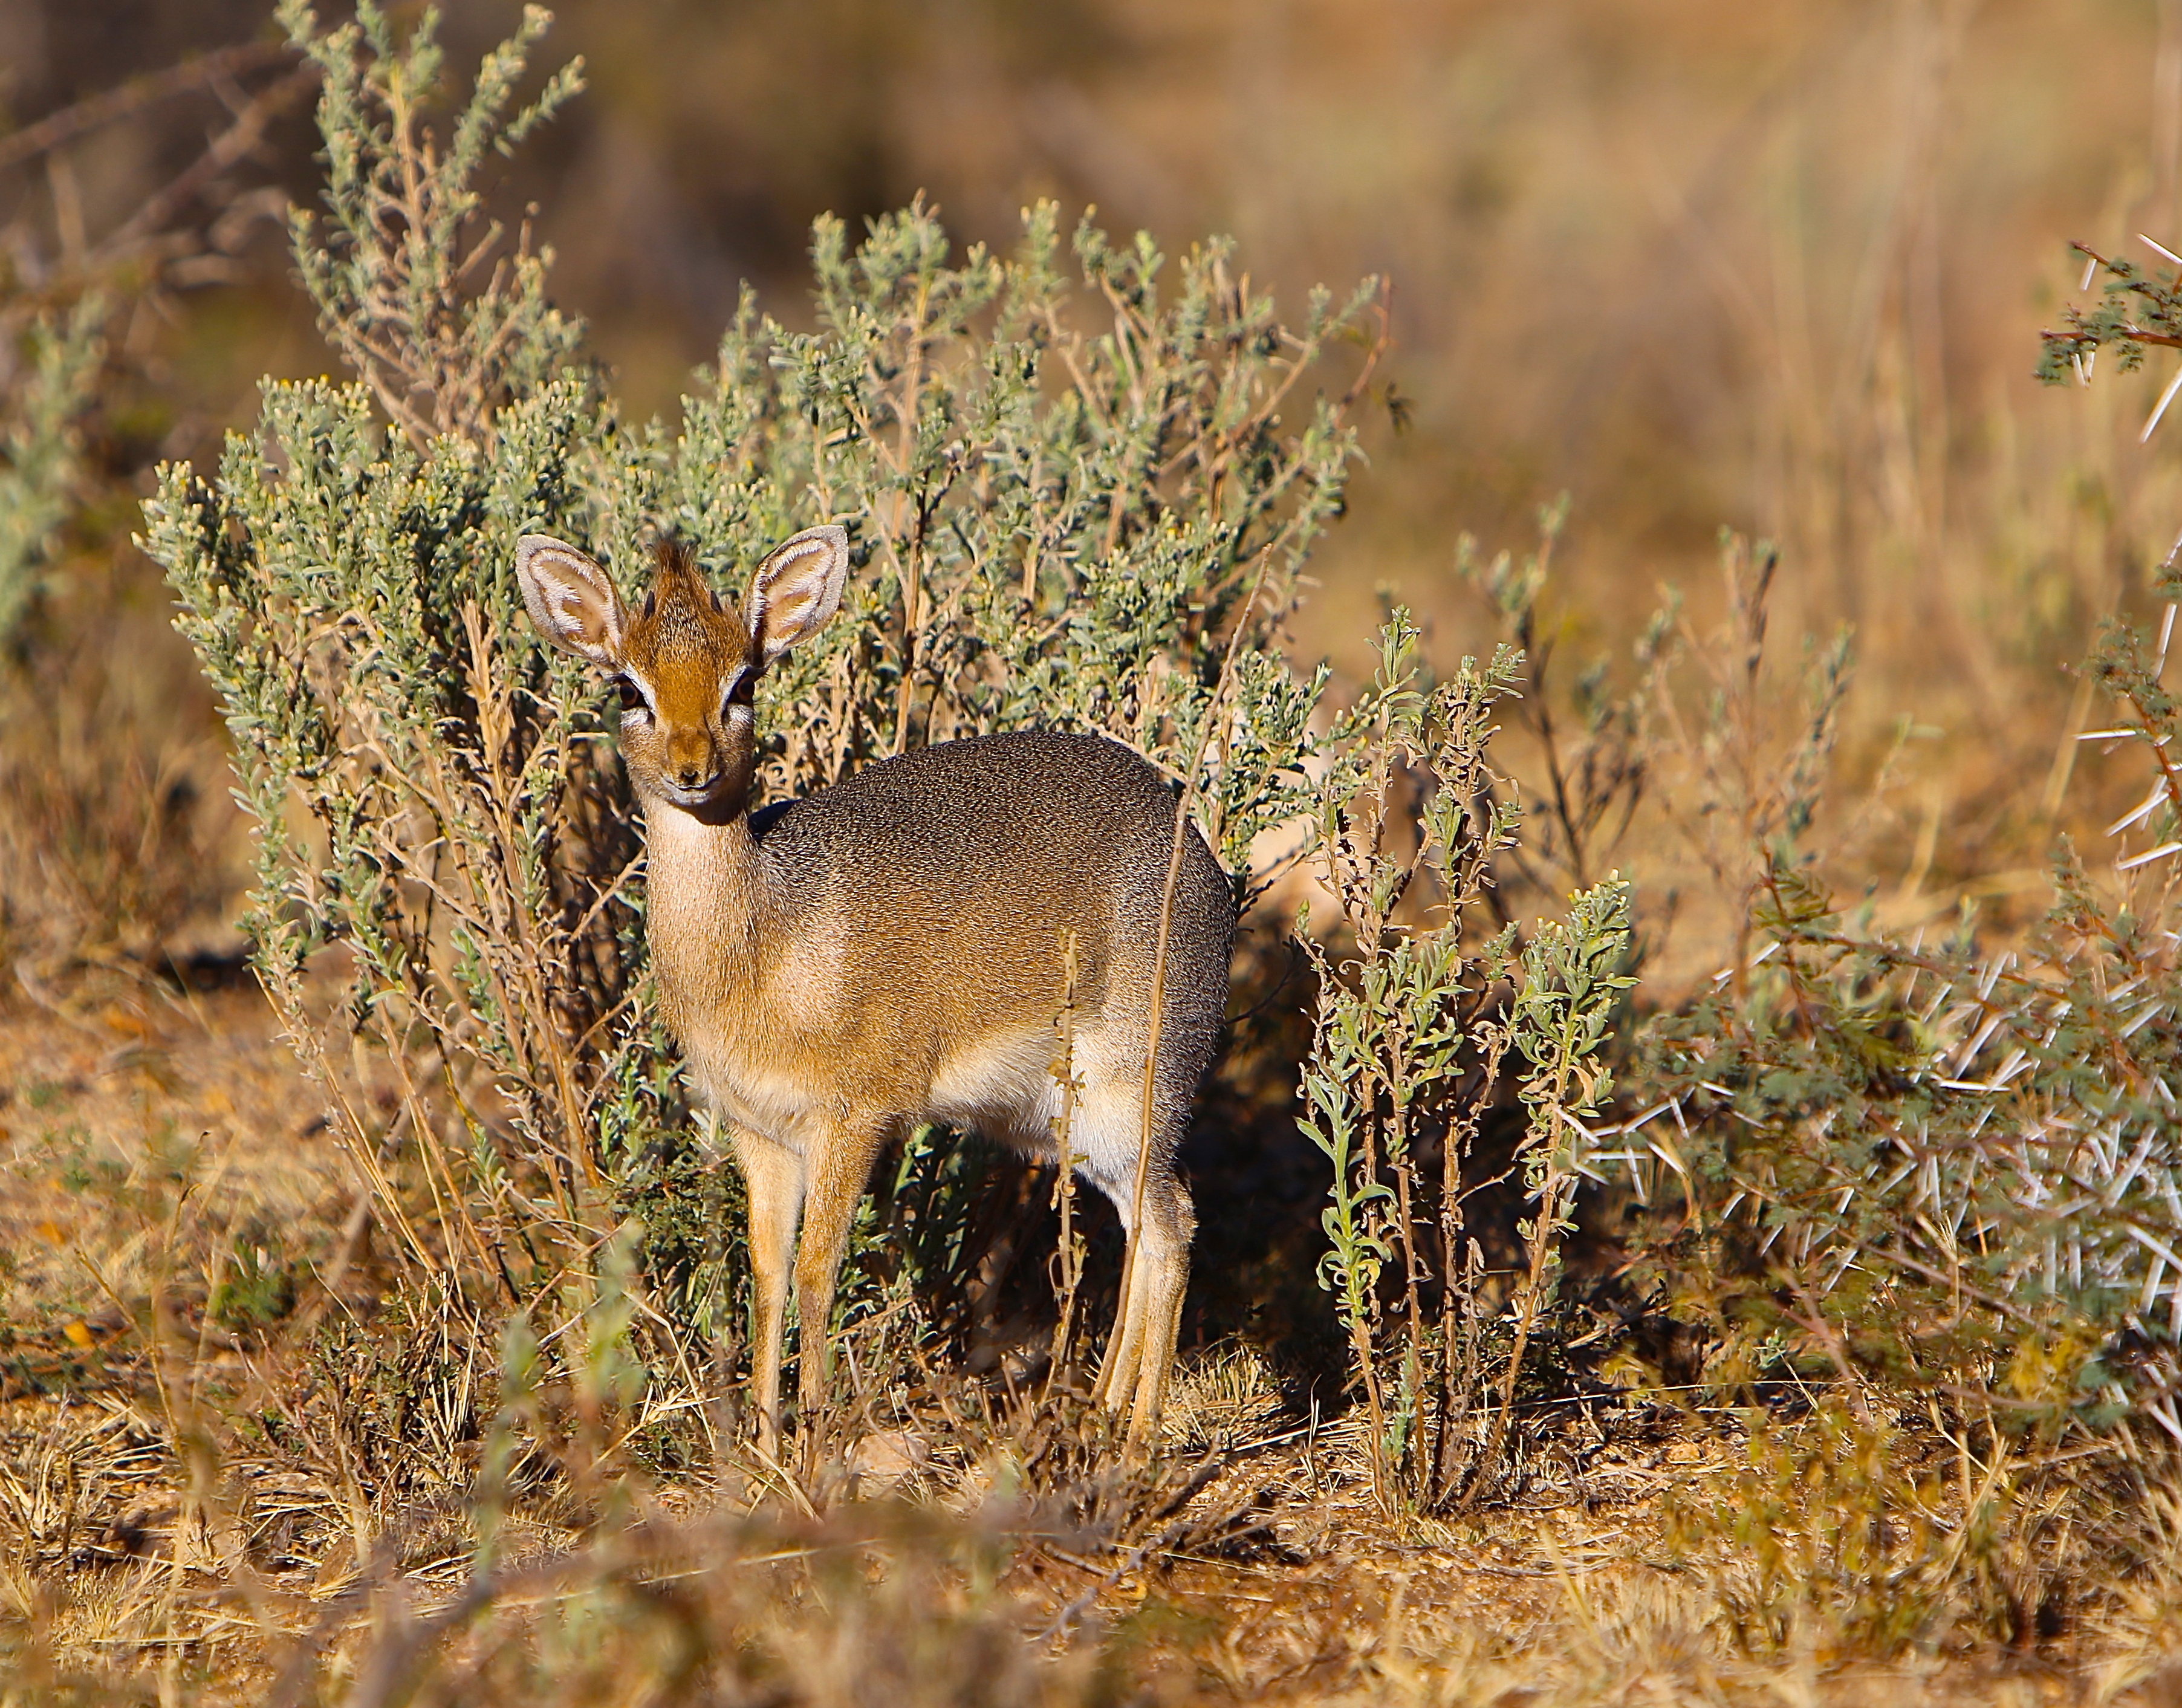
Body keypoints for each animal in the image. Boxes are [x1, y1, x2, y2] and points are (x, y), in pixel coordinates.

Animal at [506, 528, 1230, 1448]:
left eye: (744, 680)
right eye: (627, 687)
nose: (691, 768)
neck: (763, 944)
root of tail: (1206, 866)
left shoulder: (853, 1120)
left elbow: (819, 1270)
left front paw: (812, 1431)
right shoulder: (760, 1133)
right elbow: (769, 1271)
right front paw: (764, 1435)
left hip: (1129, 1098)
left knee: (1173, 1228)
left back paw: (1136, 1435)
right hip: (1073, 1129)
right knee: (1145, 1230)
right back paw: (1098, 1410)